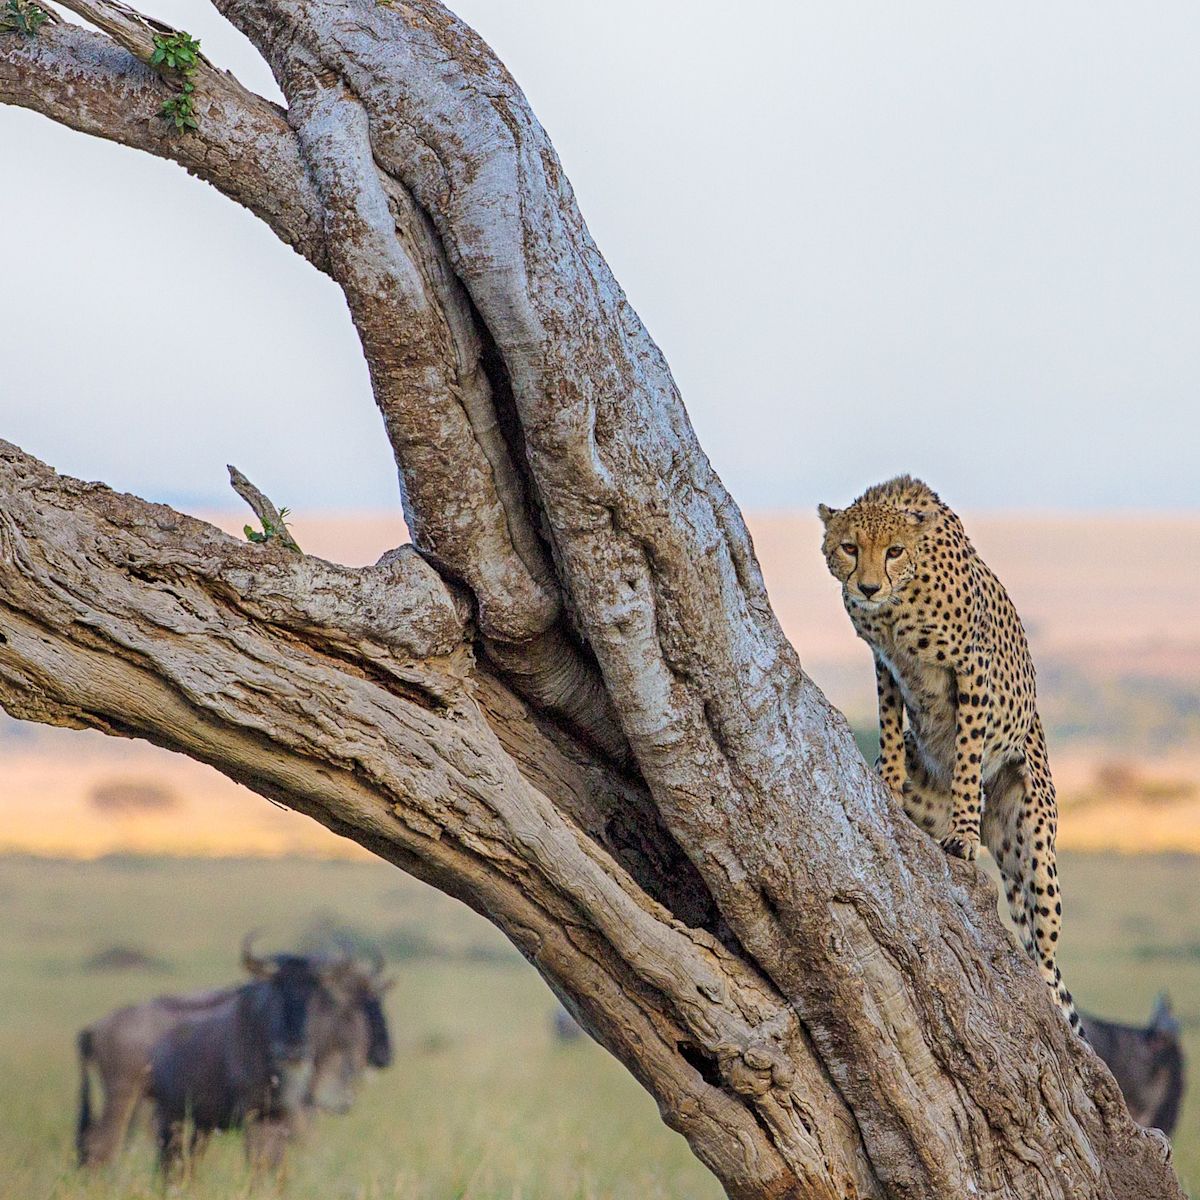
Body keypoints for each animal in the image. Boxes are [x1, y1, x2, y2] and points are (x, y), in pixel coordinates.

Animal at [820, 472, 1084, 1036]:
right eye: (849, 548)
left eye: (894, 551)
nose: (868, 587)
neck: (898, 602)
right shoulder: (886, 662)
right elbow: (889, 728)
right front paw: (888, 780)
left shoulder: (971, 668)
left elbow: (966, 755)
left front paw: (961, 833)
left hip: (1034, 844)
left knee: (1046, 952)